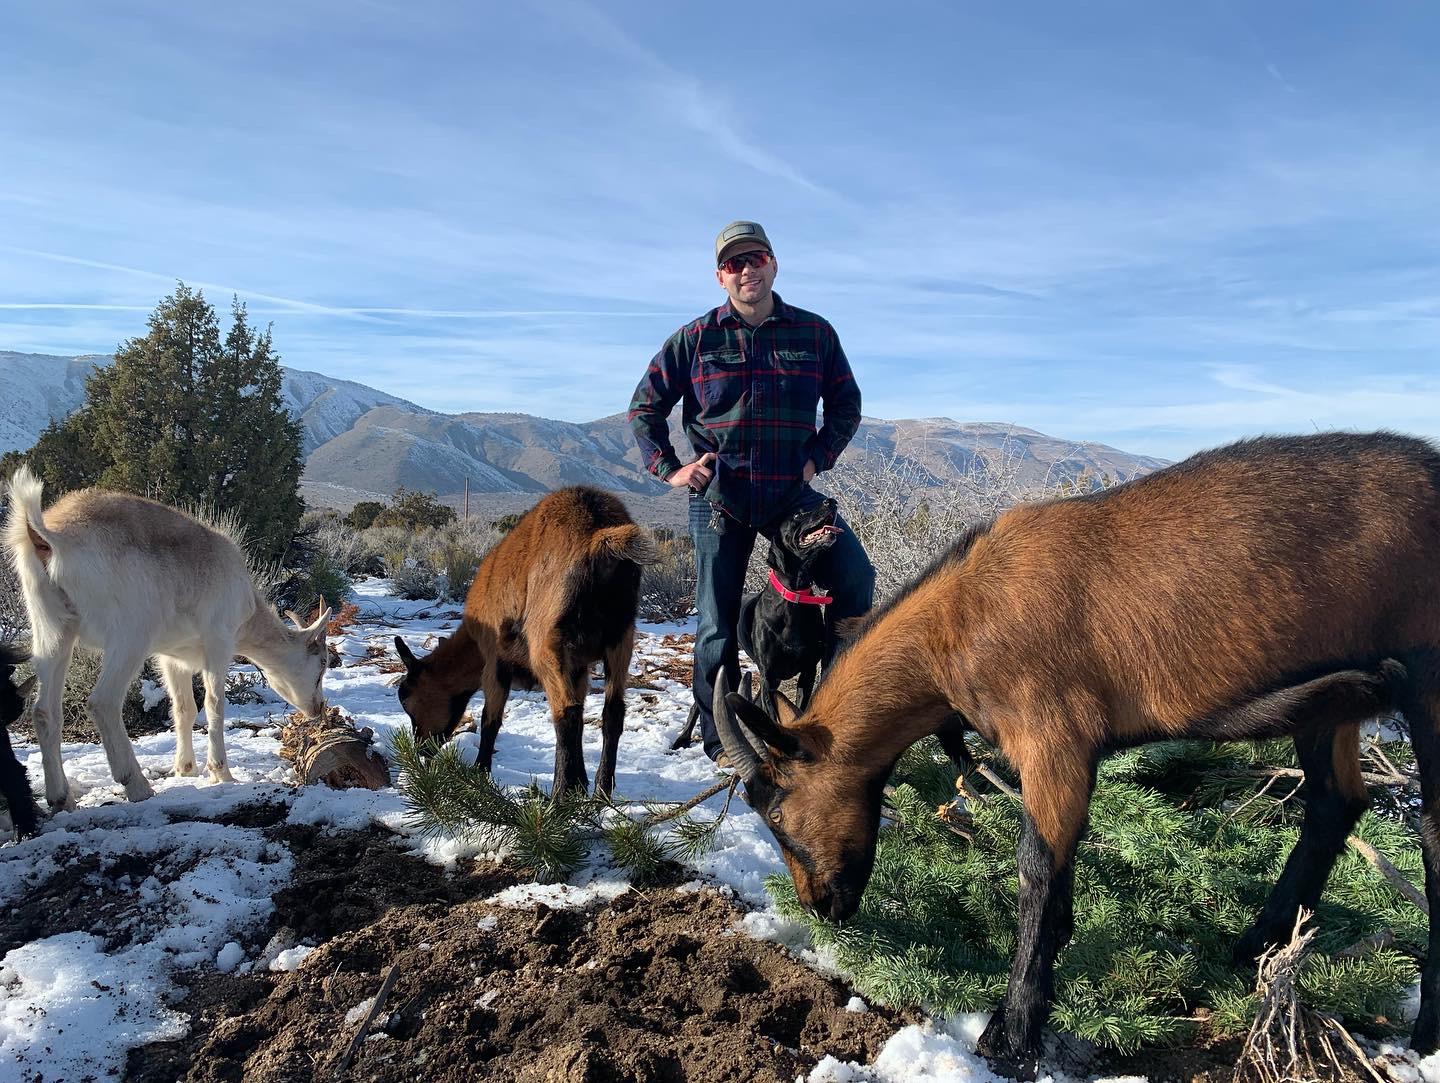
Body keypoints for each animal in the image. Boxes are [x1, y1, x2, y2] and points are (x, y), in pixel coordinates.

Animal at [4, 465, 331, 808]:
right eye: (322, 664)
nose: (318, 708)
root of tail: (49, 536)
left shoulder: (172, 656)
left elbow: (183, 707)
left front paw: (185, 768)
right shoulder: (218, 641)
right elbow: (214, 703)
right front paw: (221, 773)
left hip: (51, 629)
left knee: (44, 710)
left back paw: (60, 798)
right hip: (131, 634)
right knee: (103, 701)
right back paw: (137, 785)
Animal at [393, 486, 658, 797]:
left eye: (407, 698)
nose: (422, 748)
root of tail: (597, 538)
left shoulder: (494, 661)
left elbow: (490, 719)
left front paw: (479, 773)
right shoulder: (579, 666)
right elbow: (583, 713)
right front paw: (580, 783)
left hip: (546, 640)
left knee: (565, 712)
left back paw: (558, 795)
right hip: (621, 636)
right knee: (611, 712)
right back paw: (601, 791)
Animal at [712, 431, 1440, 1069]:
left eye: (780, 816)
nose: (820, 905)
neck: (958, 623)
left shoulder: (1054, 736)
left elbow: (1037, 866)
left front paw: (1011, 1034)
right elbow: (1058, 875)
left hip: (1427, 676)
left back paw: (1424, 1026)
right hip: (1332, 701)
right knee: (1334, 804)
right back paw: (1253, 948)